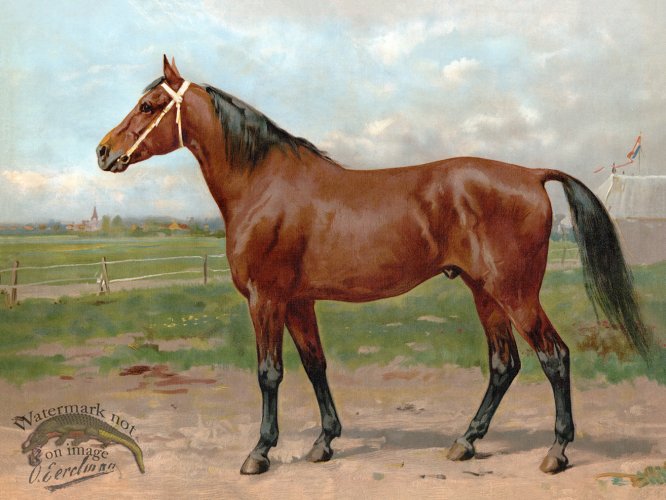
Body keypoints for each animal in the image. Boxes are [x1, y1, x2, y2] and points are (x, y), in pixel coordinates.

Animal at [97, 56, 652, 475]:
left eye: (148, 105)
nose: (103, 153)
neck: (263, 185)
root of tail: (532, 174)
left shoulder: (266, 299)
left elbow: (269, 373)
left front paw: (260, 452)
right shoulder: (298, 301)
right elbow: (315, 365)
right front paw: (323, 443)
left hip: (516, 293)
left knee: (554, 357)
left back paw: (557, 451)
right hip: (484, 292)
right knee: (504, 364)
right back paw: (466, 442)